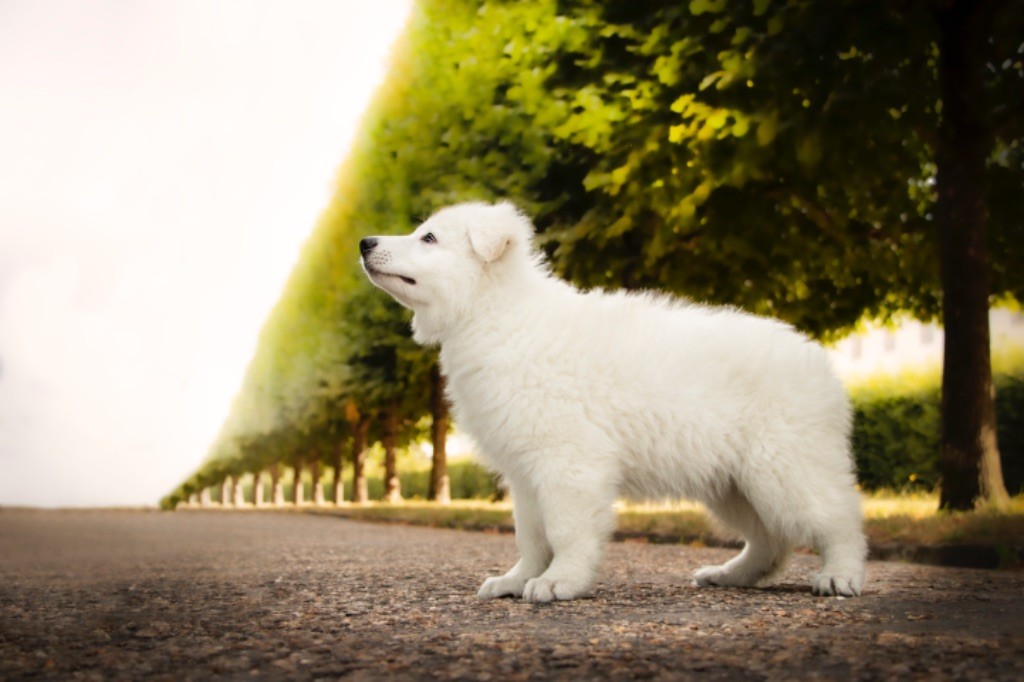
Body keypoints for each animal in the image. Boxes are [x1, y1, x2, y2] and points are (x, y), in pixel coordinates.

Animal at [360, 200, 864, 602]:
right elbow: (530, 536)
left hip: (784, 467)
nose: (364, 241)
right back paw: (731, 574)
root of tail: (819, 358)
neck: (496, 314)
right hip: (733, 483)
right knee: (771, 541)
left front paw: (559, 582)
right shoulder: (525, 472)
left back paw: (841, 575)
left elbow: (564, 530)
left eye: (428, 238)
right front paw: (516, 580)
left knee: (837, 517)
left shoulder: (567, 462)